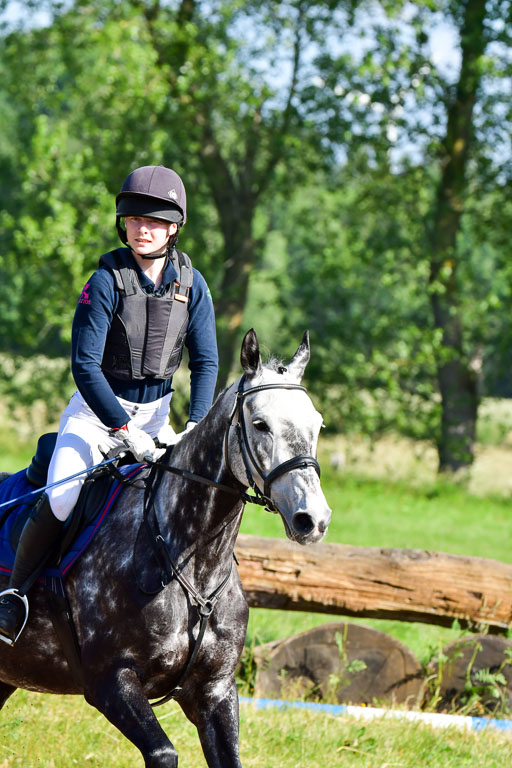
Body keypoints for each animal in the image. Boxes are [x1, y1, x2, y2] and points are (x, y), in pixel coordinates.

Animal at [0, 329, 331, 767]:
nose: (313, 519)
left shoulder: (215, 691)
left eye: (317, 424)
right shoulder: (110, 683)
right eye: (260, 424)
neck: (194, 568)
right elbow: (163, 753)